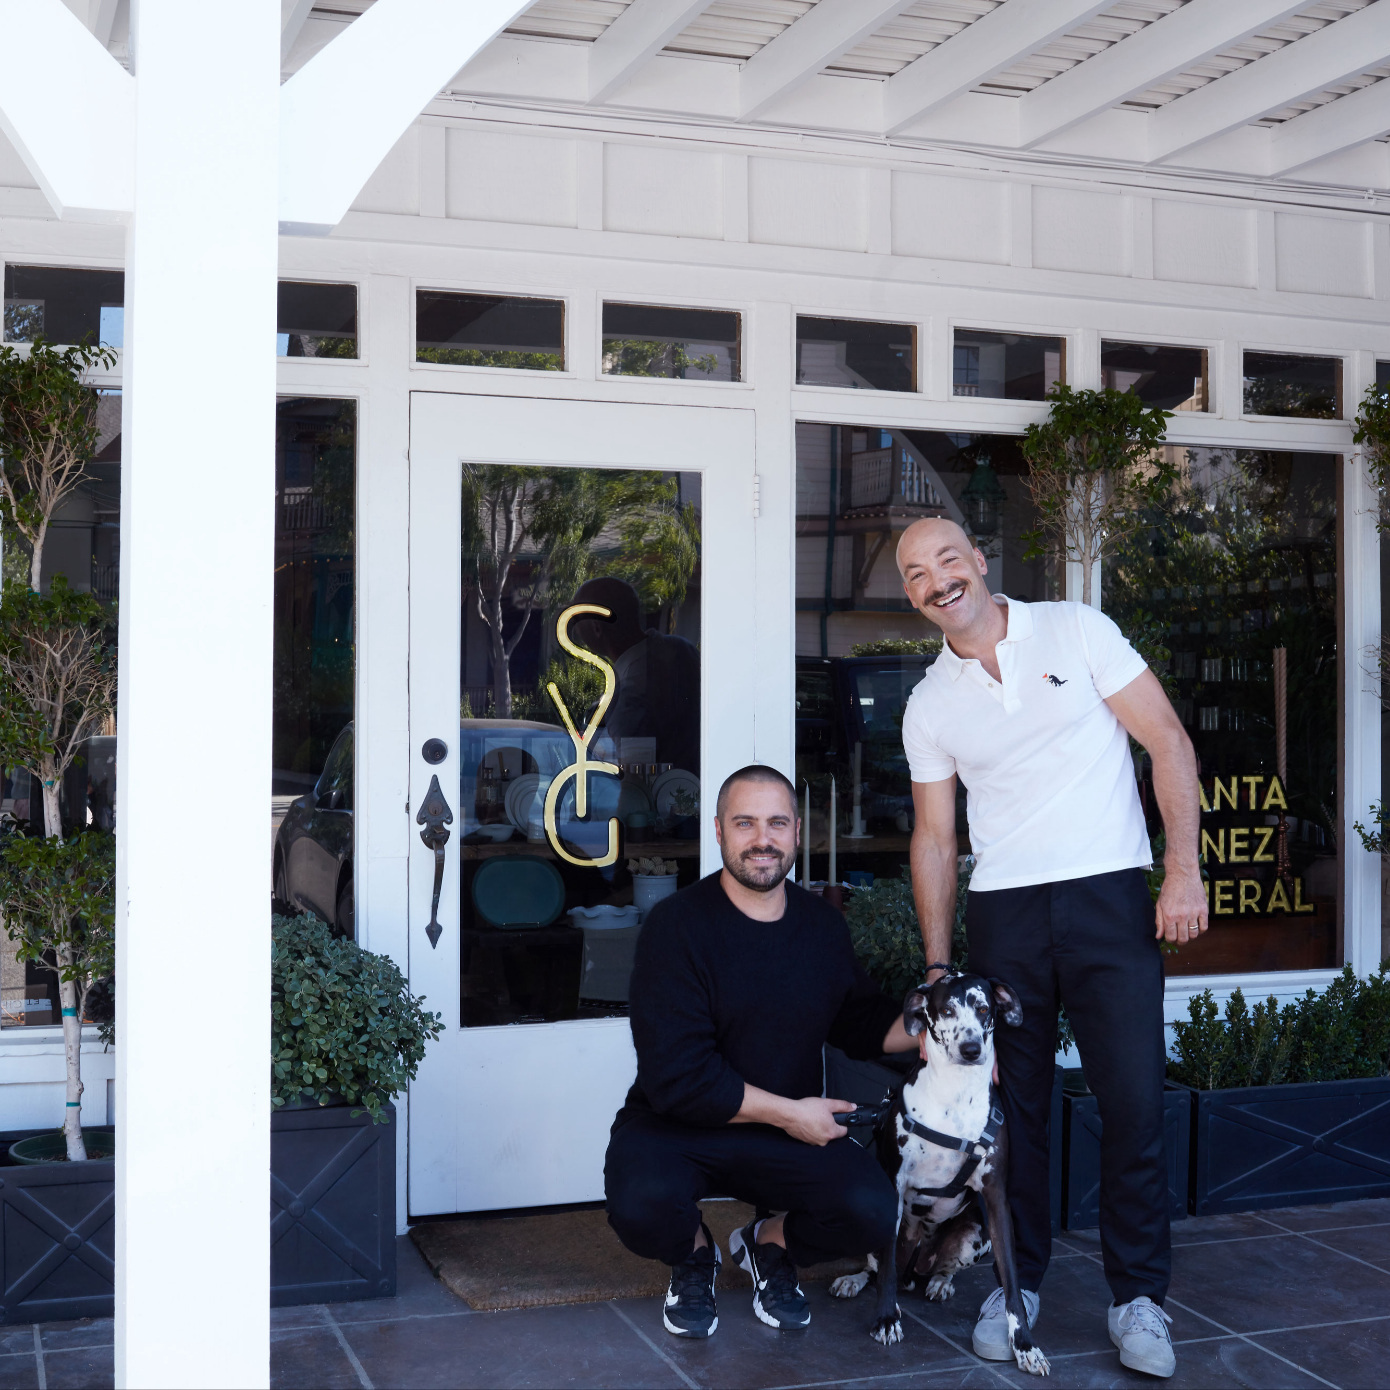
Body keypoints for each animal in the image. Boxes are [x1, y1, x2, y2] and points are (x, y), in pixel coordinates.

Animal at [828, 973, 1045, 1373]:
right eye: (946, 1010)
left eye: (984, 1009)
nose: (971, 1048)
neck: (955, 1097)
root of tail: (915, 1268)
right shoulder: (894, 1186)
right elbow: (884, 1271)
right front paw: (886, 1319)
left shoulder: (995, 1199)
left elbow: (1012, 1280)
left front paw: (1025, 1344)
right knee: (878, 1268)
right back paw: (856, 1280)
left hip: (975, 1235)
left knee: (940, 1268)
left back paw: (941, 1281)